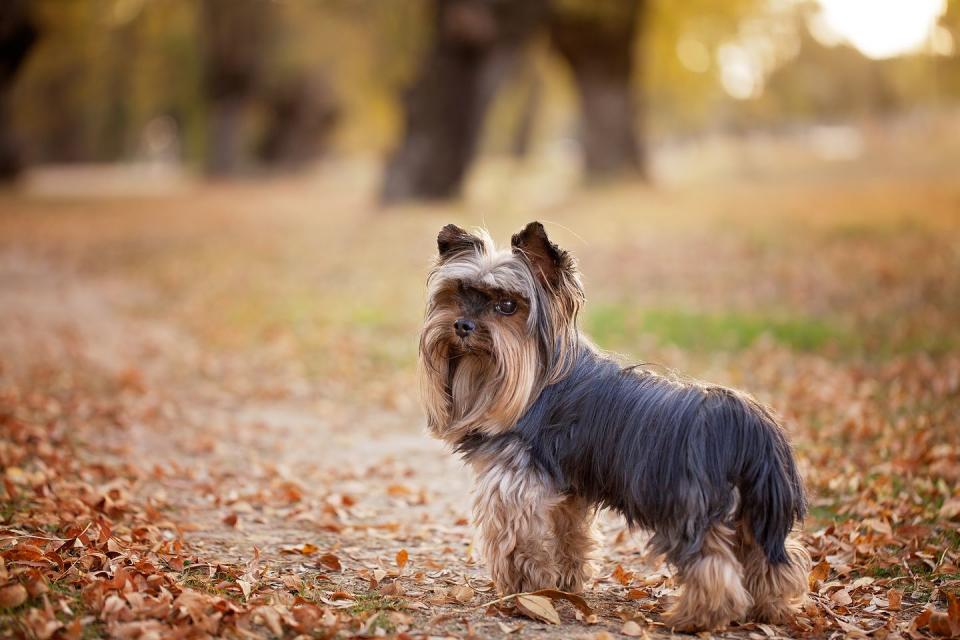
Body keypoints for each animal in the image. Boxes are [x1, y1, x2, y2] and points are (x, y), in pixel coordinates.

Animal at [420, 222, 808, 632]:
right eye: (457, 295)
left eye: (507, 305)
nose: (462, 325)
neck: (537, 379)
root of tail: (743, 425)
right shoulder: (568, 490)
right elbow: (570, 533)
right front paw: (565, 582)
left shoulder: (513, 486)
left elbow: (519, 545)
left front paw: (525, 592)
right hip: (756, 506)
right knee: (772, 558)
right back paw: (770, 608)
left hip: (689, 506)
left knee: (712, 565)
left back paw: (696, 618)